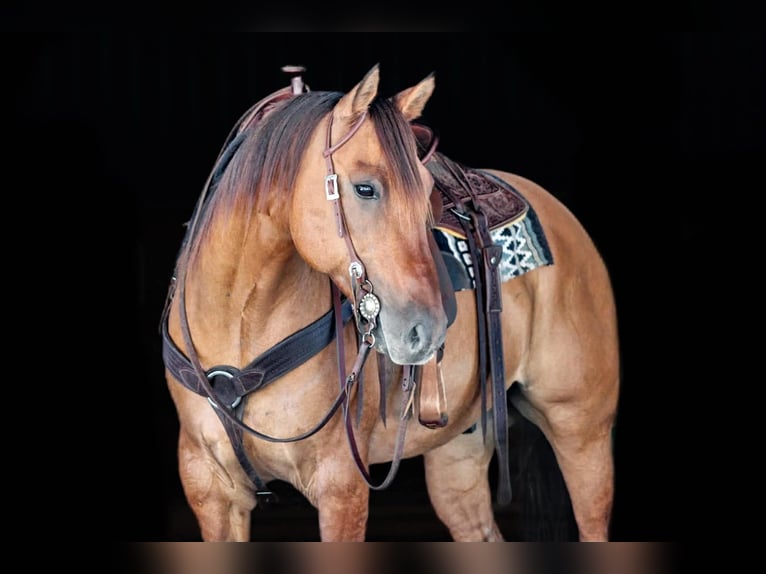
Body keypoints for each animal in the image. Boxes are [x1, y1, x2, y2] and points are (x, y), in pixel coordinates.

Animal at [160, 63, 620, 542]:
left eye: (427, 189)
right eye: (365, 189)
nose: (427, 332)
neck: (239, 322)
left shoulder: (340, 485)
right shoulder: (210, 489)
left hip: (581, 431)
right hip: (459, 451)